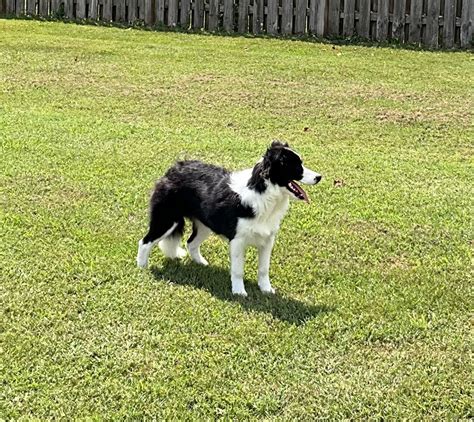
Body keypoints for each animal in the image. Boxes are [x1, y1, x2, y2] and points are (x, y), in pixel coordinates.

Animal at [137, 140, 322, 296]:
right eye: (295, 166)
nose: (319, 177)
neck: (263, 192)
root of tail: (172, 169)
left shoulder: (268, 239)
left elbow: (264, 269)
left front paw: (266, 290)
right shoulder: (238, 240)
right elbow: (238, 270)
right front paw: (239, 292)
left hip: (205, 225)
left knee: (191, 242)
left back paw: (201, 263)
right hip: (167, 220)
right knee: (145, 241)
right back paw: (142, 267)